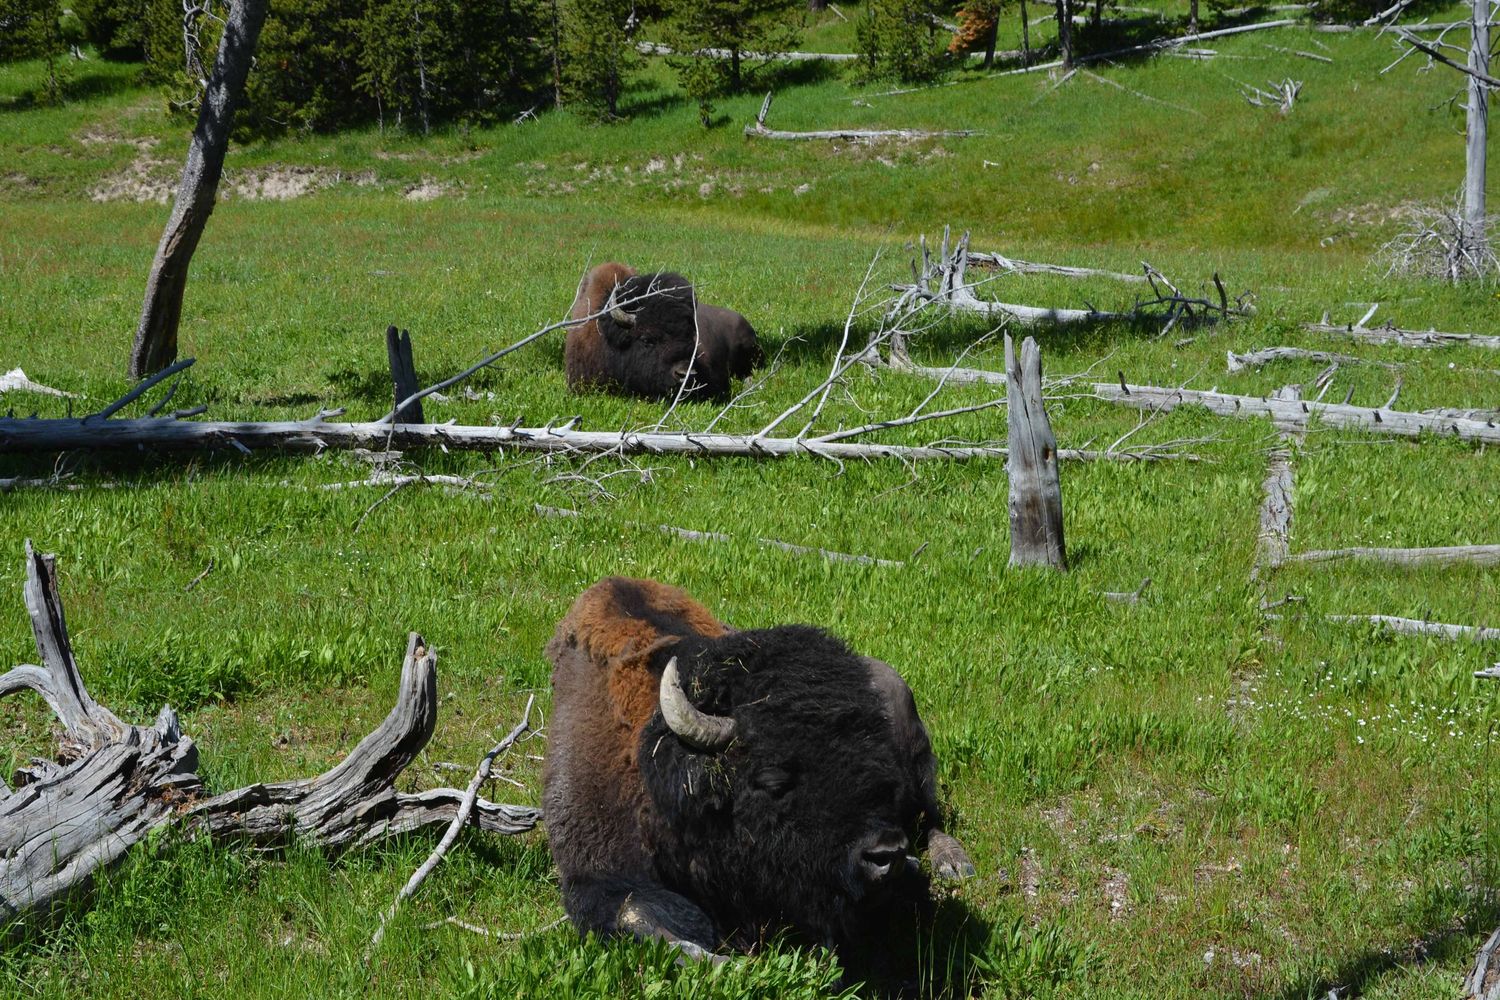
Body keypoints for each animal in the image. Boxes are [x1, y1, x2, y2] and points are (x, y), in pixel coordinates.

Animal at [542, 577, 975, 976]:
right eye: (772, 781)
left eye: (877, 761)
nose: (887, 854)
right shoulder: (594, 875)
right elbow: (638, 916)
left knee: (931, 818)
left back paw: (955, 864)